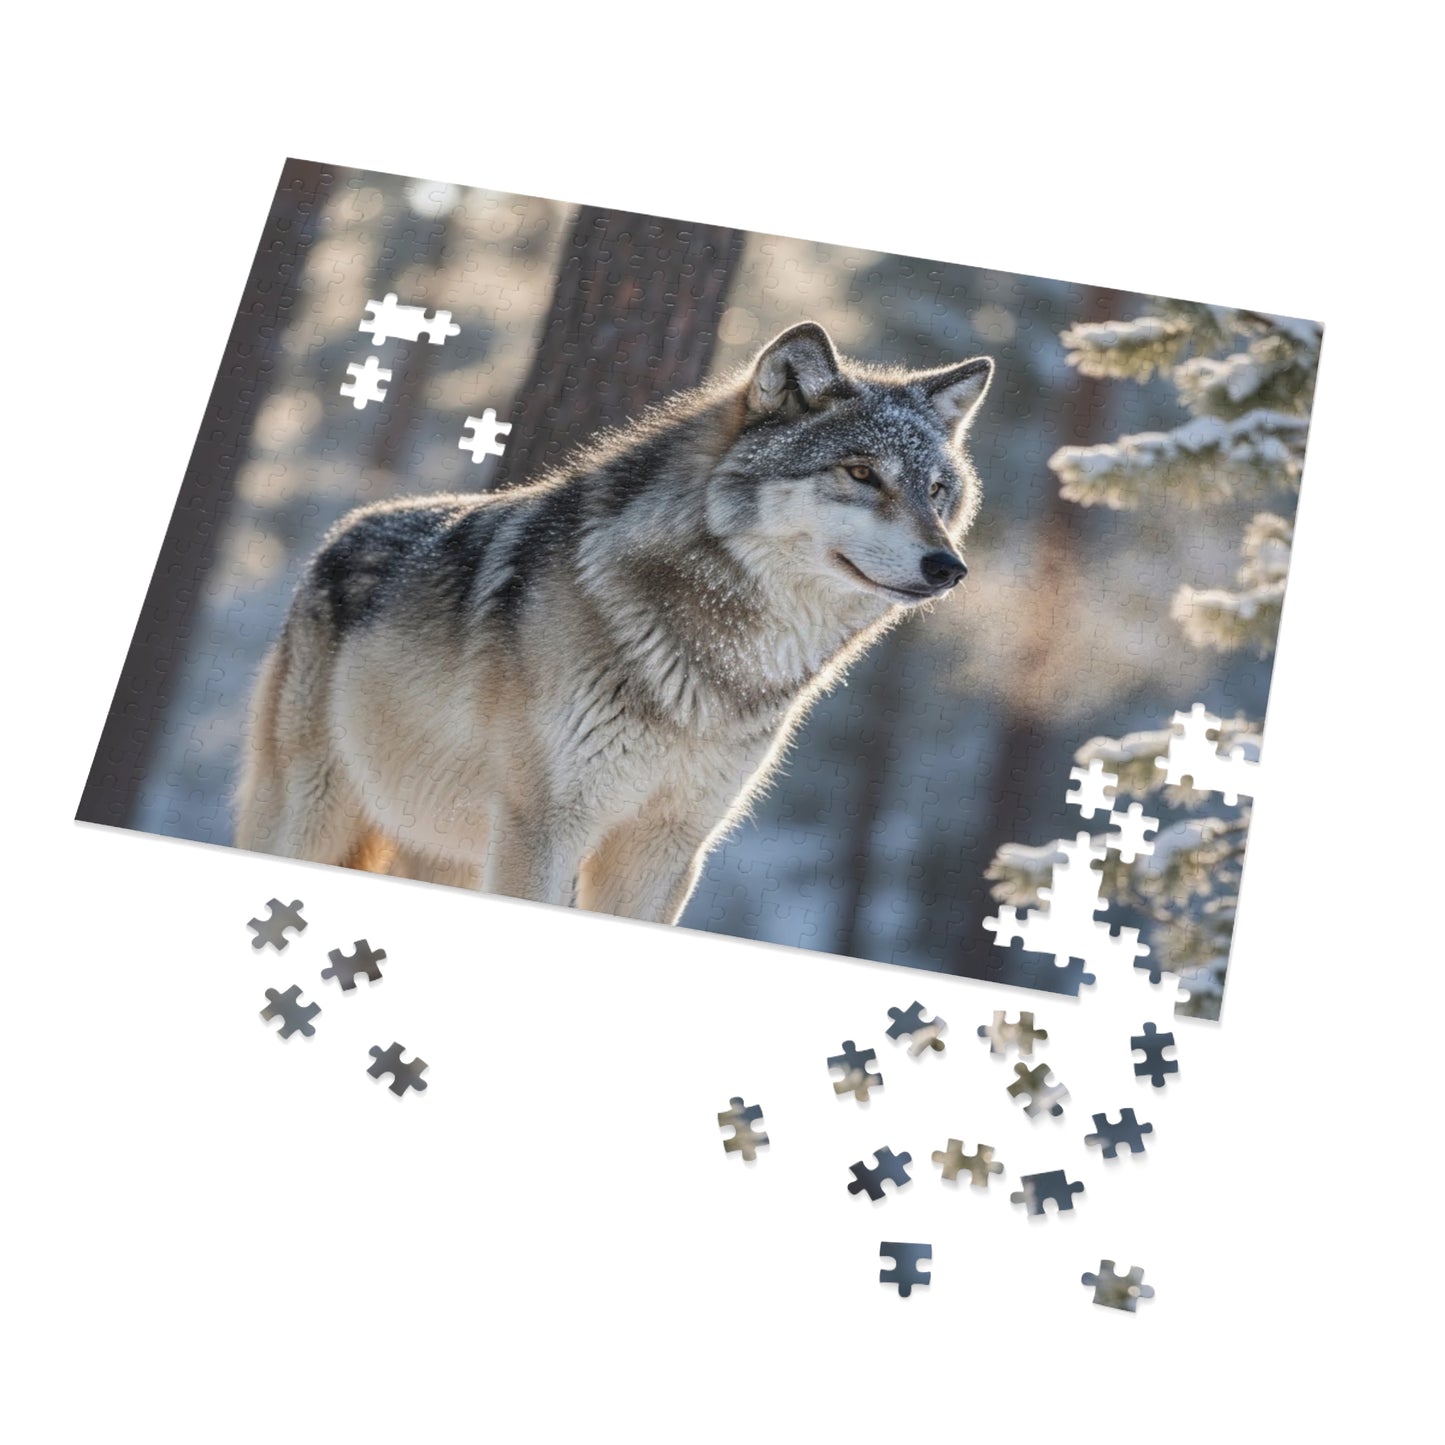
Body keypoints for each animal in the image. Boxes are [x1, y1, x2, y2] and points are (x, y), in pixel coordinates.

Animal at [234, 322, 993, 923]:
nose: (947, 567)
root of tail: (343, 530)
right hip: (313, 817)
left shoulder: (665, 848)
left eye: (935, 492)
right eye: (861, 473)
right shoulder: (544, 829)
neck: (717, 667)